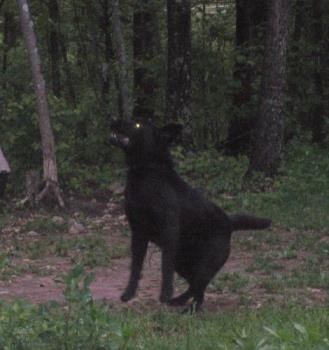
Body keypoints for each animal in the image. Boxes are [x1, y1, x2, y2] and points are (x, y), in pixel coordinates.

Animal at [110, 120, 270, 312]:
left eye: (138, 125)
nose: (113, 121)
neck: (148, 172)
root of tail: (229, 223)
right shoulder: (138, 234)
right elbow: (135, 267)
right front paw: (129, 293)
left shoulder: (168, 231)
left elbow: (165, 267)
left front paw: (165, 294)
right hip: (183, 263)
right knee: (195, 287)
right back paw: (180, 301)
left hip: (206, 264)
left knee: (198, 287)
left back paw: (188, 308)